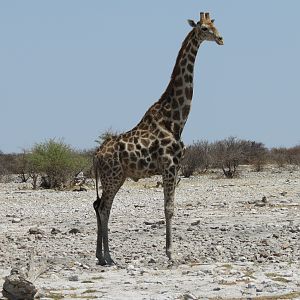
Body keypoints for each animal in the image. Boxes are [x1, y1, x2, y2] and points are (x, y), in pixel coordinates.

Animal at [93, 12, 223, 264]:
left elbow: (170, 207)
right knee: (103, 207)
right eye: (204, 28)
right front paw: (171, 254)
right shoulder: (170, 165)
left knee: (100, 205)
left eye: (215, 25)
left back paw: (102, 256)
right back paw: (108, 257)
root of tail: (95, 156)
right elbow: (169, 208)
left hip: (116, 177)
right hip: (112, 176)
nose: (221, 39)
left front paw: (170, 252)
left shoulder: (175, 167)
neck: (176, 119)